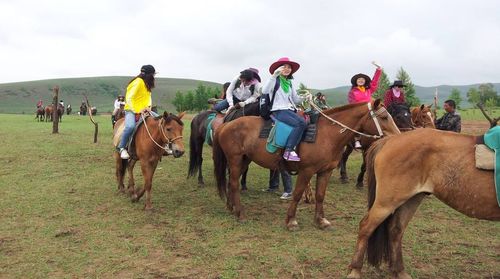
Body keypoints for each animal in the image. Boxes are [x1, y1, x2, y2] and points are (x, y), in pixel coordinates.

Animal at [213, 100, 400, 230]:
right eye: (384, 117)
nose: (397, 136)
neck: (326, 134)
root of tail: (226, 125)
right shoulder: (306, 171)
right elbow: (297, 194)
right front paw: (291, 221)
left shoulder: (326, 171)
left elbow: (320, 195)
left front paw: (320, 221)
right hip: (235, 159)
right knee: (234, 183)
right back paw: (240, 213)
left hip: (244, 160)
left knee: (231, 182)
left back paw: (231, 207)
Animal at [348, 129, 500, 279]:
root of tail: (390, 139)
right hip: (386, 202)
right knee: (366, 227)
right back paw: (355, 270)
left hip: (412, 199)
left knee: (396, 230)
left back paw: (399, 271)